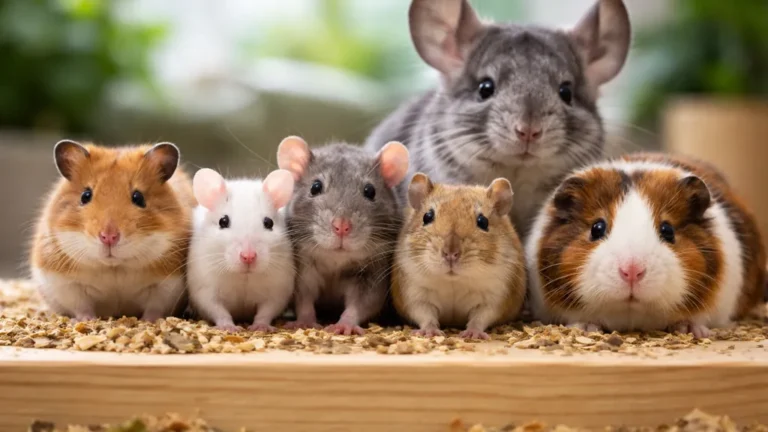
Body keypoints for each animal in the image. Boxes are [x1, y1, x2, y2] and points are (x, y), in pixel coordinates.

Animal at [30, 140, 196, 321]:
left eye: (138, 198)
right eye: (85, 195)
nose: (109, 237)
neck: (115, 267)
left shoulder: (167, 286)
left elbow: (155, 308)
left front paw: (147, 321)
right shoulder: (65, 284)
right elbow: (81, 306)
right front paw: (87, 320)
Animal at [187, 168, 296, 332]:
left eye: (268, 223)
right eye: (223, 221)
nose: (248, 257)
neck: (244, 276)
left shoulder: (278, 290)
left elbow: (266, 311)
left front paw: (260, 327)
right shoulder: (204, 290)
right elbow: (218, 311)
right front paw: (229, 328)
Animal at [277, 136, 409, 335]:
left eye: (370, 191)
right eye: (315, 187)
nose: (341, 226)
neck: (336, 260)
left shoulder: (373, 270)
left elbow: (365, 300)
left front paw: (346, 323)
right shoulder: (303, 265)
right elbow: (303, 294)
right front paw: (305, 320)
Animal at [392, 174, 526, 339]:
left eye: (483, 221)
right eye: (427, 217)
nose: (450, 254)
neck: (454, 281)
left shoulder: (494, 298)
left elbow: (480, 318)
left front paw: (472, 334)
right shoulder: (415, 294)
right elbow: (425, 315)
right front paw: (430, 332)